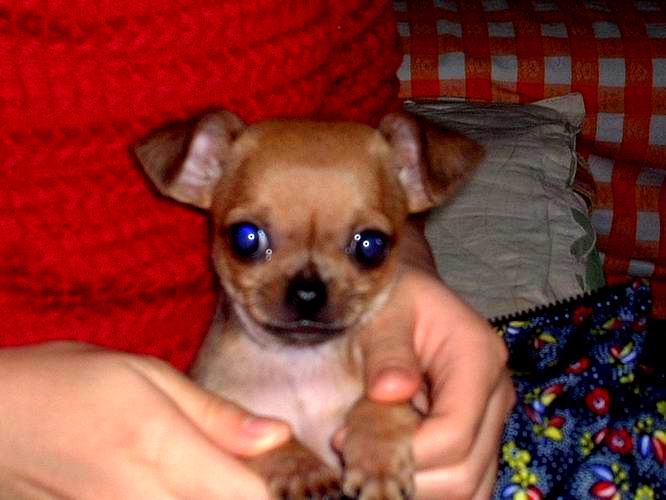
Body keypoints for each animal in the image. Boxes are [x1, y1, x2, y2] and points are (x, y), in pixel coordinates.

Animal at [134, 110, 483, 499]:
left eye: (371, 245)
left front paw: (377, 454)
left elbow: (382, 401)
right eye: (245, 238)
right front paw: (300, 468)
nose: (307, 292)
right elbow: (263, 436)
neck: (301, 365)